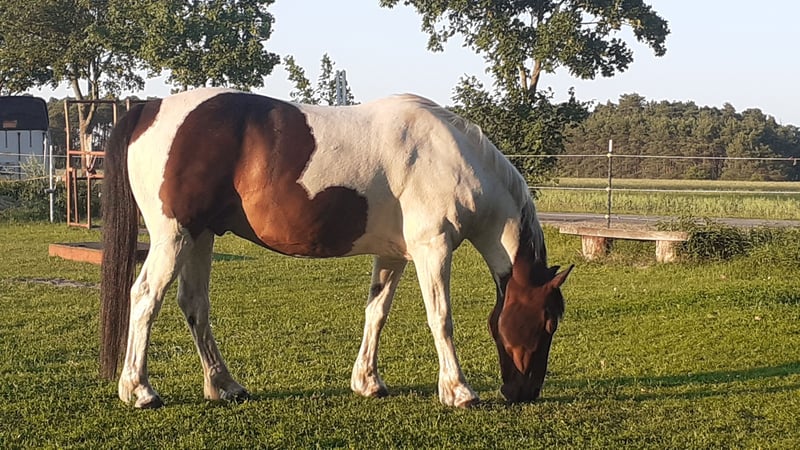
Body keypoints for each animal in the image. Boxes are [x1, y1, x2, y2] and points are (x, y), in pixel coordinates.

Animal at [99, 88, 573, 409]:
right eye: (548, 322)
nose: (525, 391)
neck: (451, 157)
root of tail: (150, 107)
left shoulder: (395, 255)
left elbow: (376, 313)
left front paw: (368, 382)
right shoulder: (433, 248)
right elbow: (441, 319)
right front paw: (458, 391)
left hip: (200, 236)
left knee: (194, 304)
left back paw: (224, 386)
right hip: (175, 236)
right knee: (146, 297)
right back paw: (139, 390)